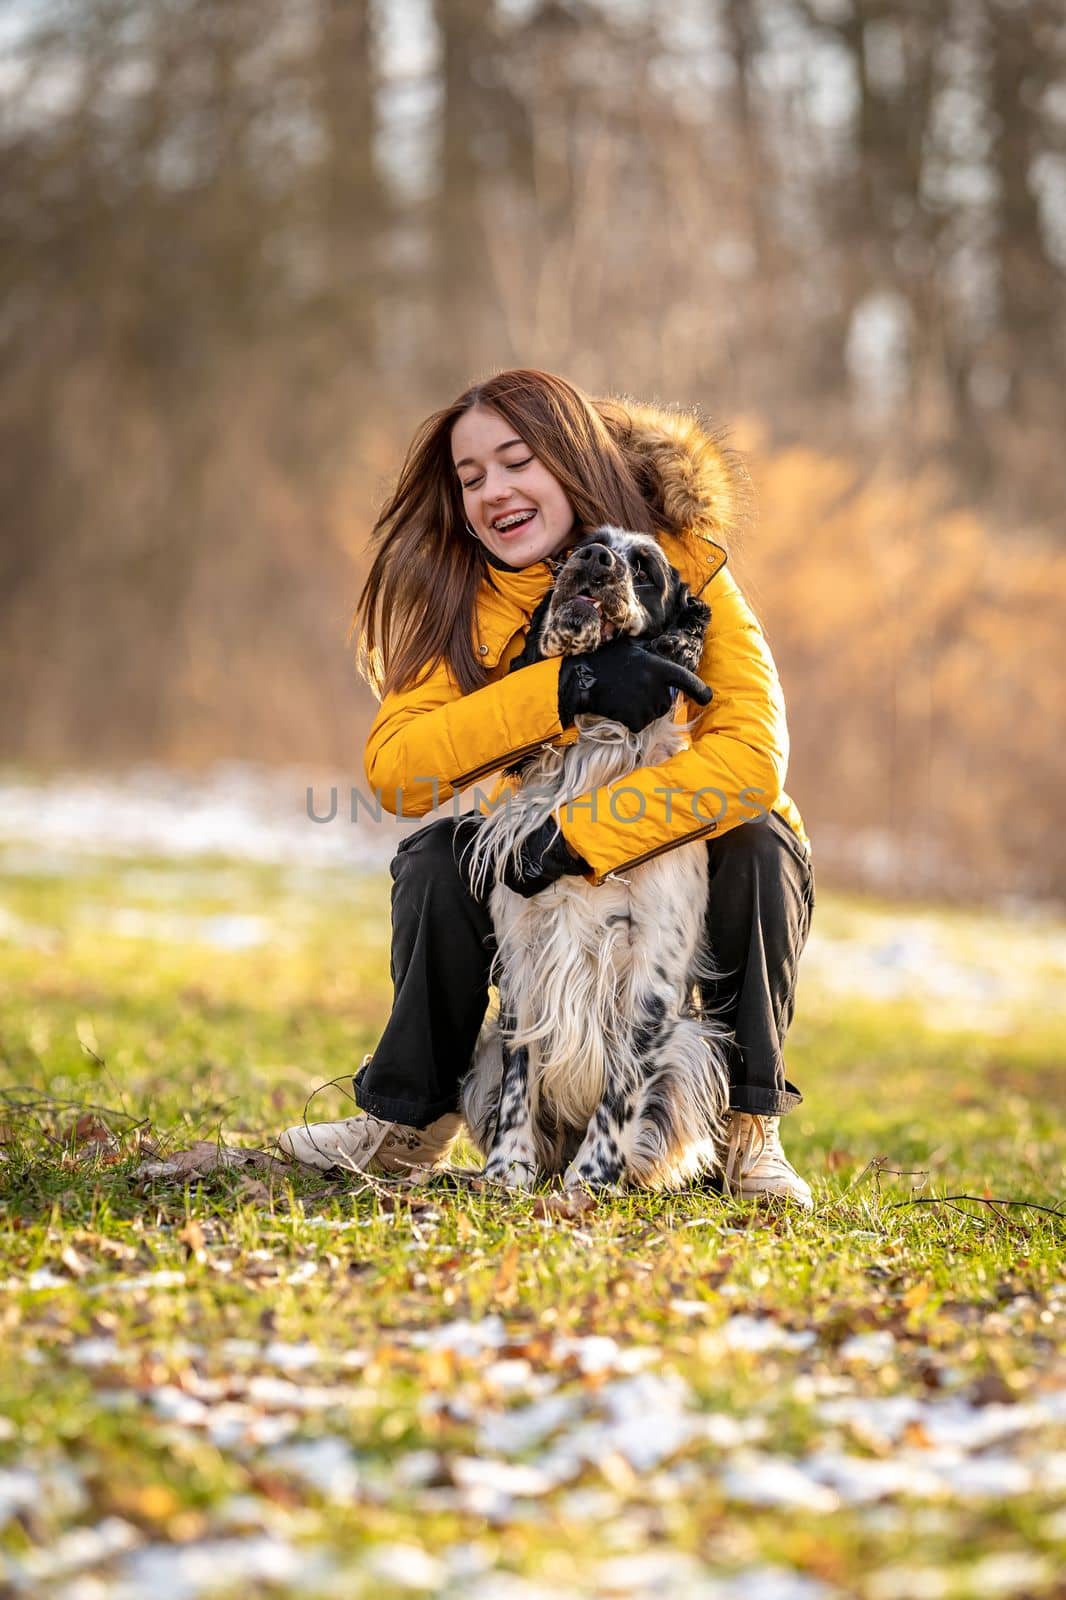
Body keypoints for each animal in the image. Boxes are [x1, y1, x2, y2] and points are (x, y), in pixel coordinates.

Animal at [460, 524, 726, 1190]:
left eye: (646, 567)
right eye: (584, 542)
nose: (595, 559)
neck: (594, 751)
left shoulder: (651, 965)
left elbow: (623, 1085)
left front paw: (592, 1178)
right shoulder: (524, 950)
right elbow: (520, 1074)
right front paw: (508, 1169)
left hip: (692, 1049)